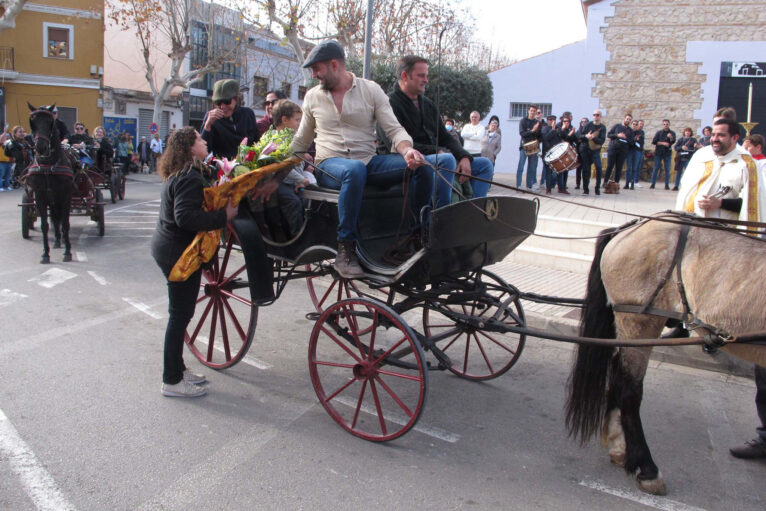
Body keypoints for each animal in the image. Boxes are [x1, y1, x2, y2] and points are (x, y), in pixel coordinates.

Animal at [24, 103, 74, 264]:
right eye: (32, 121)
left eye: (49, 122)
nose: (40, 147)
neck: (48, 165)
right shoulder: (40, 197)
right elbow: (45, 225)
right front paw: (45, 254)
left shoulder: (65, 196)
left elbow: (66, 224)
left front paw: (68, 252)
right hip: (51, 200)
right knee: (54, 219)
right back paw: (57, 240)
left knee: (59, 220)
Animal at [564, 215, 766, 496]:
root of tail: (629, 228)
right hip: (640, 320)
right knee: (630, 389)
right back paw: (647, 468)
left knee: (618, 374)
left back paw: (620, 448)